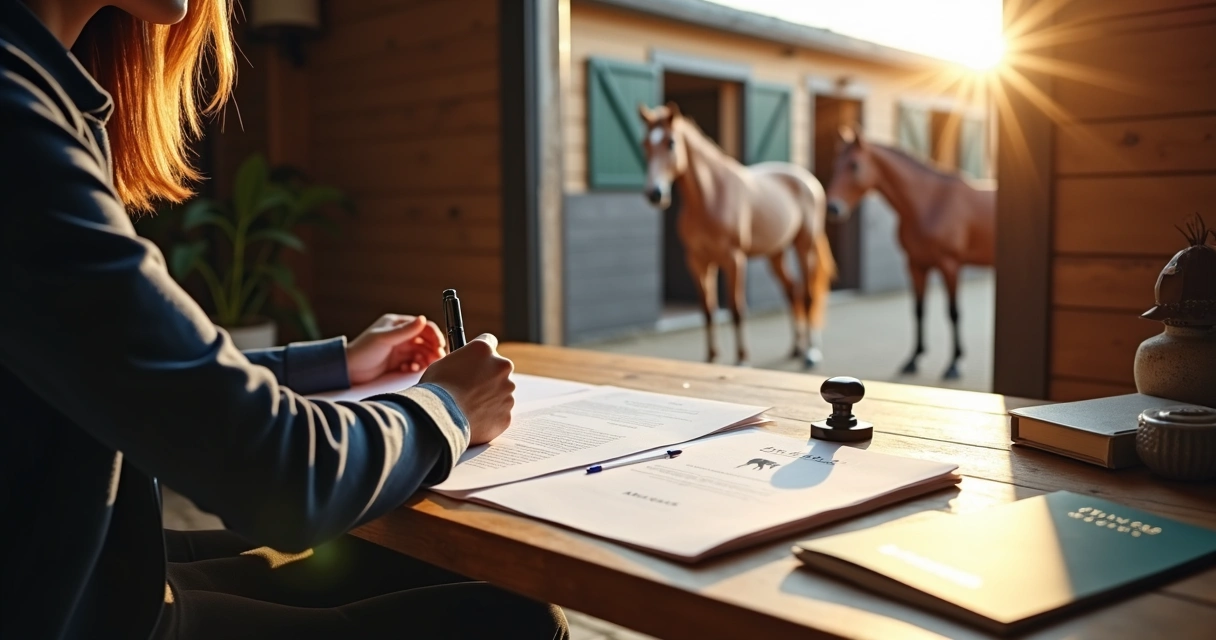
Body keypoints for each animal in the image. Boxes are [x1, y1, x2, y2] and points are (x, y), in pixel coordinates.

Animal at [638, 102, 835, 368]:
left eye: (671, 142)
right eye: (645, 144)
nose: (655, 193)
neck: (711, 197)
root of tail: (808, 180)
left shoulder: (734, 259)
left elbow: (736, 308)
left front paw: (742, 359)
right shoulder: (697, 261)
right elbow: (708, 309)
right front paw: (711, 357)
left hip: (805, 245)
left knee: (807, 294)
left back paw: (811, 352)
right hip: (776, 254)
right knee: (792, 291)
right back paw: (796, 348)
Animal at [823, 126, 995, 380]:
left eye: (854, 165)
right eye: (836, 164)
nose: (833, 208)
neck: (931, 203)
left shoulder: (950, 266)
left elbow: (953, 312)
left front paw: (954, 364)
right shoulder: (915, 264)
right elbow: (918, 311)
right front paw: (913, 360)